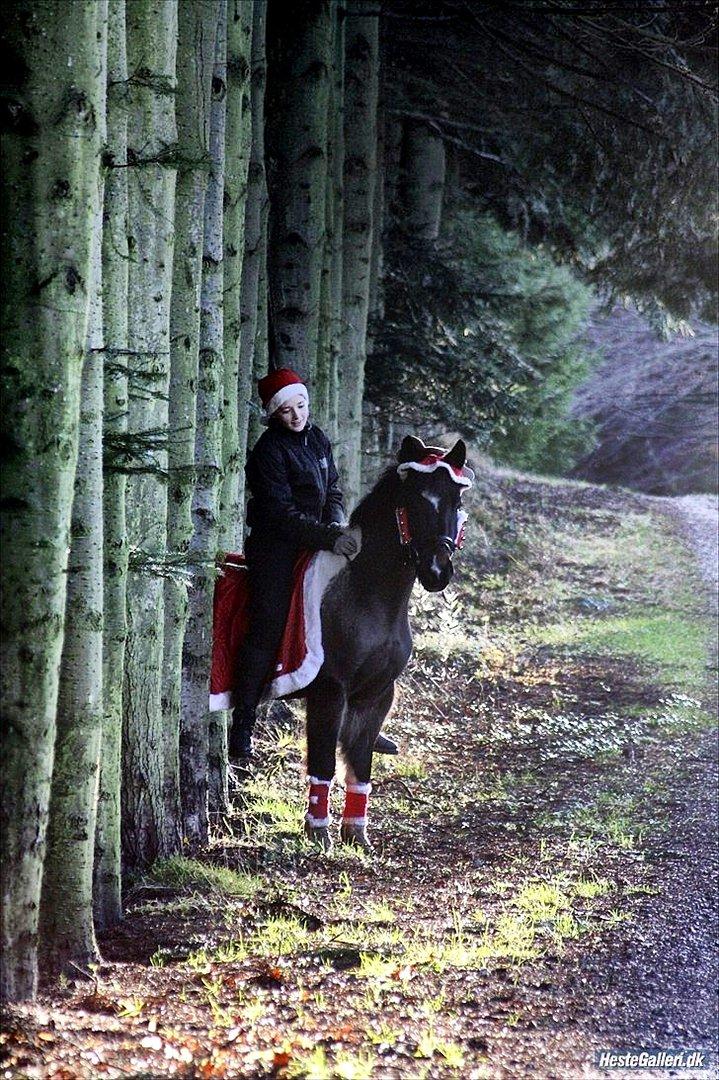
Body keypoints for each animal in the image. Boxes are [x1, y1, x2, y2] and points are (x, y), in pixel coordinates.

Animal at [300, 434, 472, 846]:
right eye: (413, 501)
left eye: (456, 502)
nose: (437, 571)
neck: (367, 594)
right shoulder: (330, 690)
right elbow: (324, 759)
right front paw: (318, 831)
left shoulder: (376, 693)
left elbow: (361, 762)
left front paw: (355, 833)